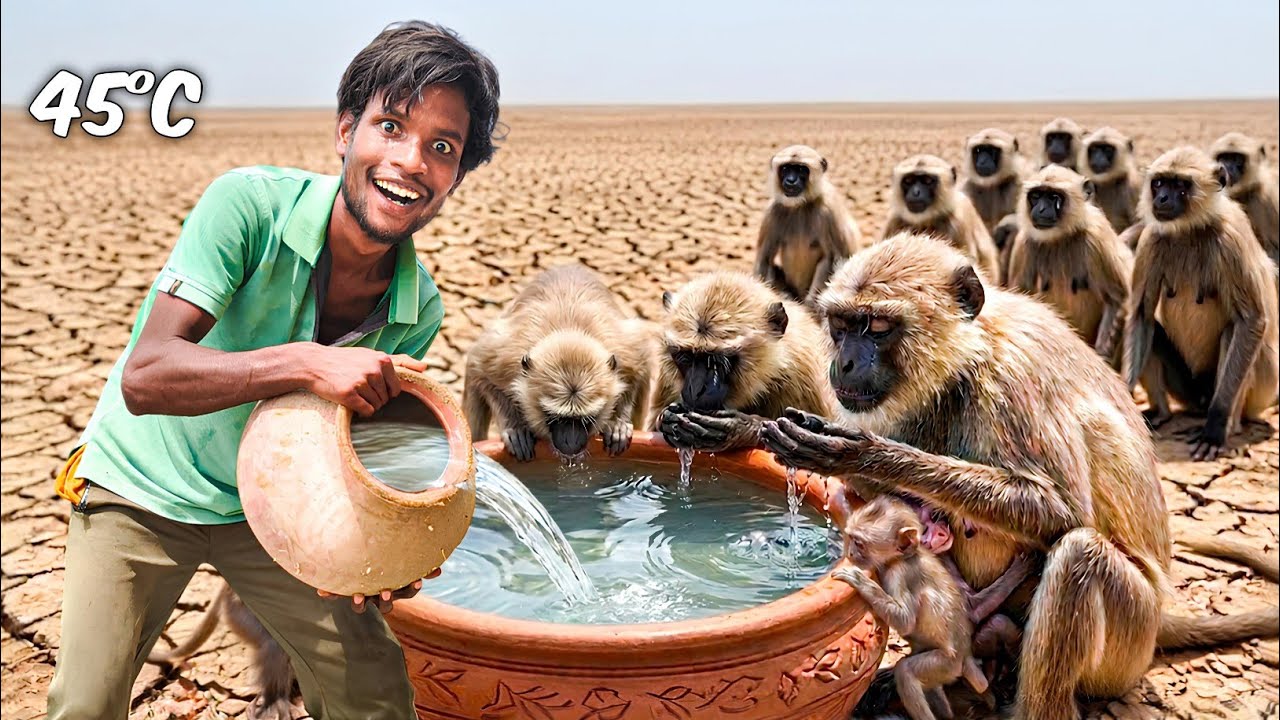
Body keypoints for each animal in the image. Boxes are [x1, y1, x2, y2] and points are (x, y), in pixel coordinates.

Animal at [463, 263, 657, 461]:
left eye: (585, 420)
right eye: (556, 418)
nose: (570, 443)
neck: (568, 328)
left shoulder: (628, 352)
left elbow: (639, 370)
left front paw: (617, 423)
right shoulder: (503, 357)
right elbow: (479, 370)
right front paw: (515, 429)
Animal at [753, 144, 862, 305]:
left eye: (800, 169)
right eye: (786, 168)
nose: (791, 180)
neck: (801, 205)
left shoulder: (830, 209)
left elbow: (838, 259)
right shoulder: (773, 211)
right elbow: (764, 260)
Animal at [756, 232, 1278, 720]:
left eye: (878, 329)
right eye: (842, 328)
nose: (844, 361)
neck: (972, 351)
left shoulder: (1011, 376)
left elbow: (1061, 511)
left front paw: (857, 453)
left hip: (1130, 641)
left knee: (1078, 555)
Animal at [1009, 164, 1133, 364]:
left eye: (1054, 197)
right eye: (1036, 196)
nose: (1041, 209)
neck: (1060, 238)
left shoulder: (1097, 237)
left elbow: (1118, 298)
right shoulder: (1024, 243)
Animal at [1124, 147, 1280, 460]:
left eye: (1180, 185)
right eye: (1159, 183)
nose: (1162, 199)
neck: (1190, 229)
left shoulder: (1230, 240)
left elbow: (1252, 320)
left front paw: (1215, 428)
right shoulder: (1151, 238)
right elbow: (1141, 315)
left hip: (1263, 387)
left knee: (1235, 330)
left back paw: (1225, 426)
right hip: (1187, 390)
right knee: (1152, 330)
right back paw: (1162, 414)